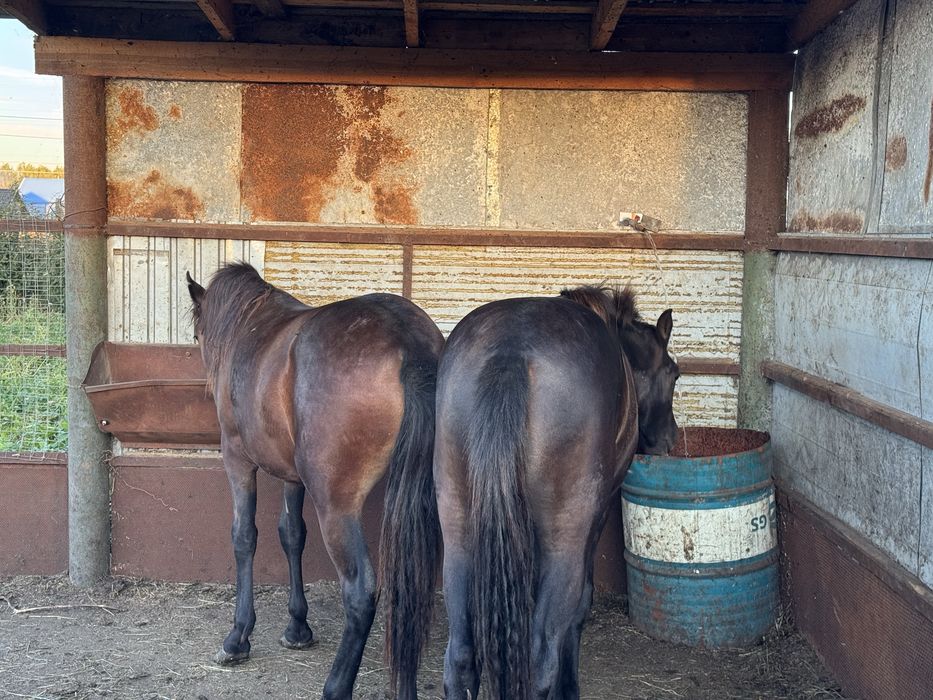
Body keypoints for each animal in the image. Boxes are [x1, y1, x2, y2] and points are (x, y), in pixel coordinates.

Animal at [186, 263, 443, 700]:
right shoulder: (293, 476)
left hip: (336, 505)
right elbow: (292, 534)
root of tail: (408, 345)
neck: (248, 326)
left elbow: (244, 537)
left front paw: (238, 637)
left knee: (360, 591)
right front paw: (298, 627)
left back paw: (336, 686)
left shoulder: (238, 460)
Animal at [433, 285, 679, 700]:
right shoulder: (595, 517)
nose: (669, 441)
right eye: (674, 373)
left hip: (459, 532)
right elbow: (579, 608)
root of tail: (510, 353)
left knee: (460, 658)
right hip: (565, 536)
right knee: (541, 656)